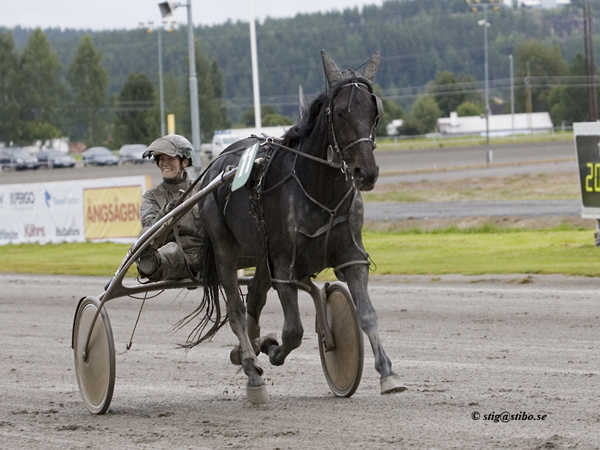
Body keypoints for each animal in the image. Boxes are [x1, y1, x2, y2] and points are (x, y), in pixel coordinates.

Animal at [192, 50, 408, 404]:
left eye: (374, 112)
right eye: (340, 112)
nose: (366, 173)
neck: (320, 189)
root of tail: (216, 165)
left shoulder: (351, 256)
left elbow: (367, 314)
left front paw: (388, 374)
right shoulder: (284, 265)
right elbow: (293, 332)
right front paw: (271, 350)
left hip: (261, 254)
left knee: (254, 301)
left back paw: (247, 349)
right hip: (225, 247)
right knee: (236, 310)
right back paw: (252, 371)